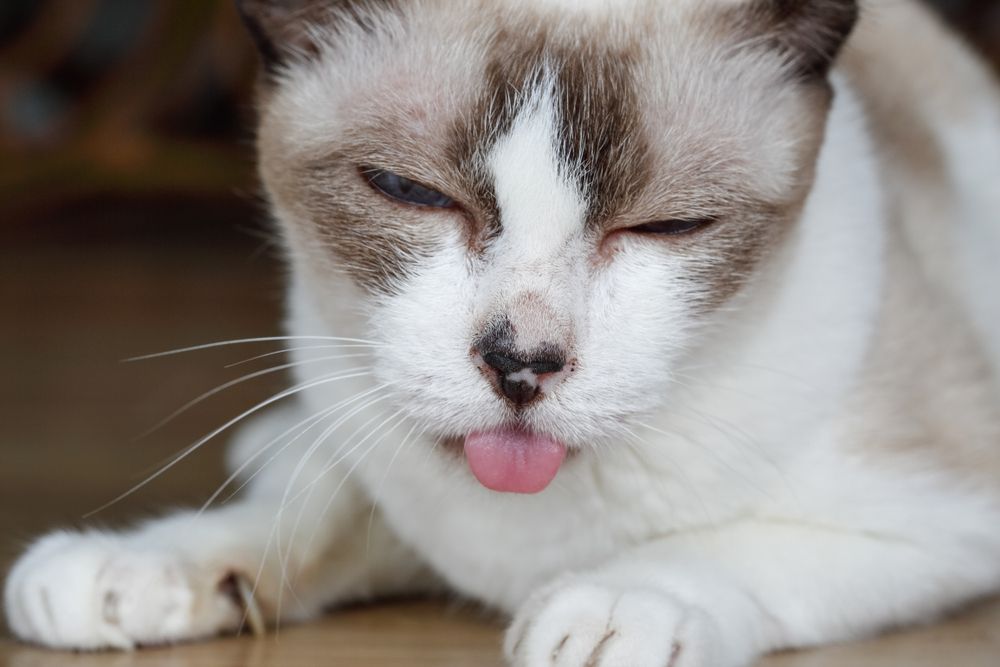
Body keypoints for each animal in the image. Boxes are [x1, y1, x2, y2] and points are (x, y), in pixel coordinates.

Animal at [5, 0, 1000, 664]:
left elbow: (727, 545)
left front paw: (610, 606)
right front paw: (129, 570)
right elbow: (302, 518)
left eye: (668, 227)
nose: (521, 362)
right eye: (409, 192)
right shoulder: (405, 492)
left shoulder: (939, 512)